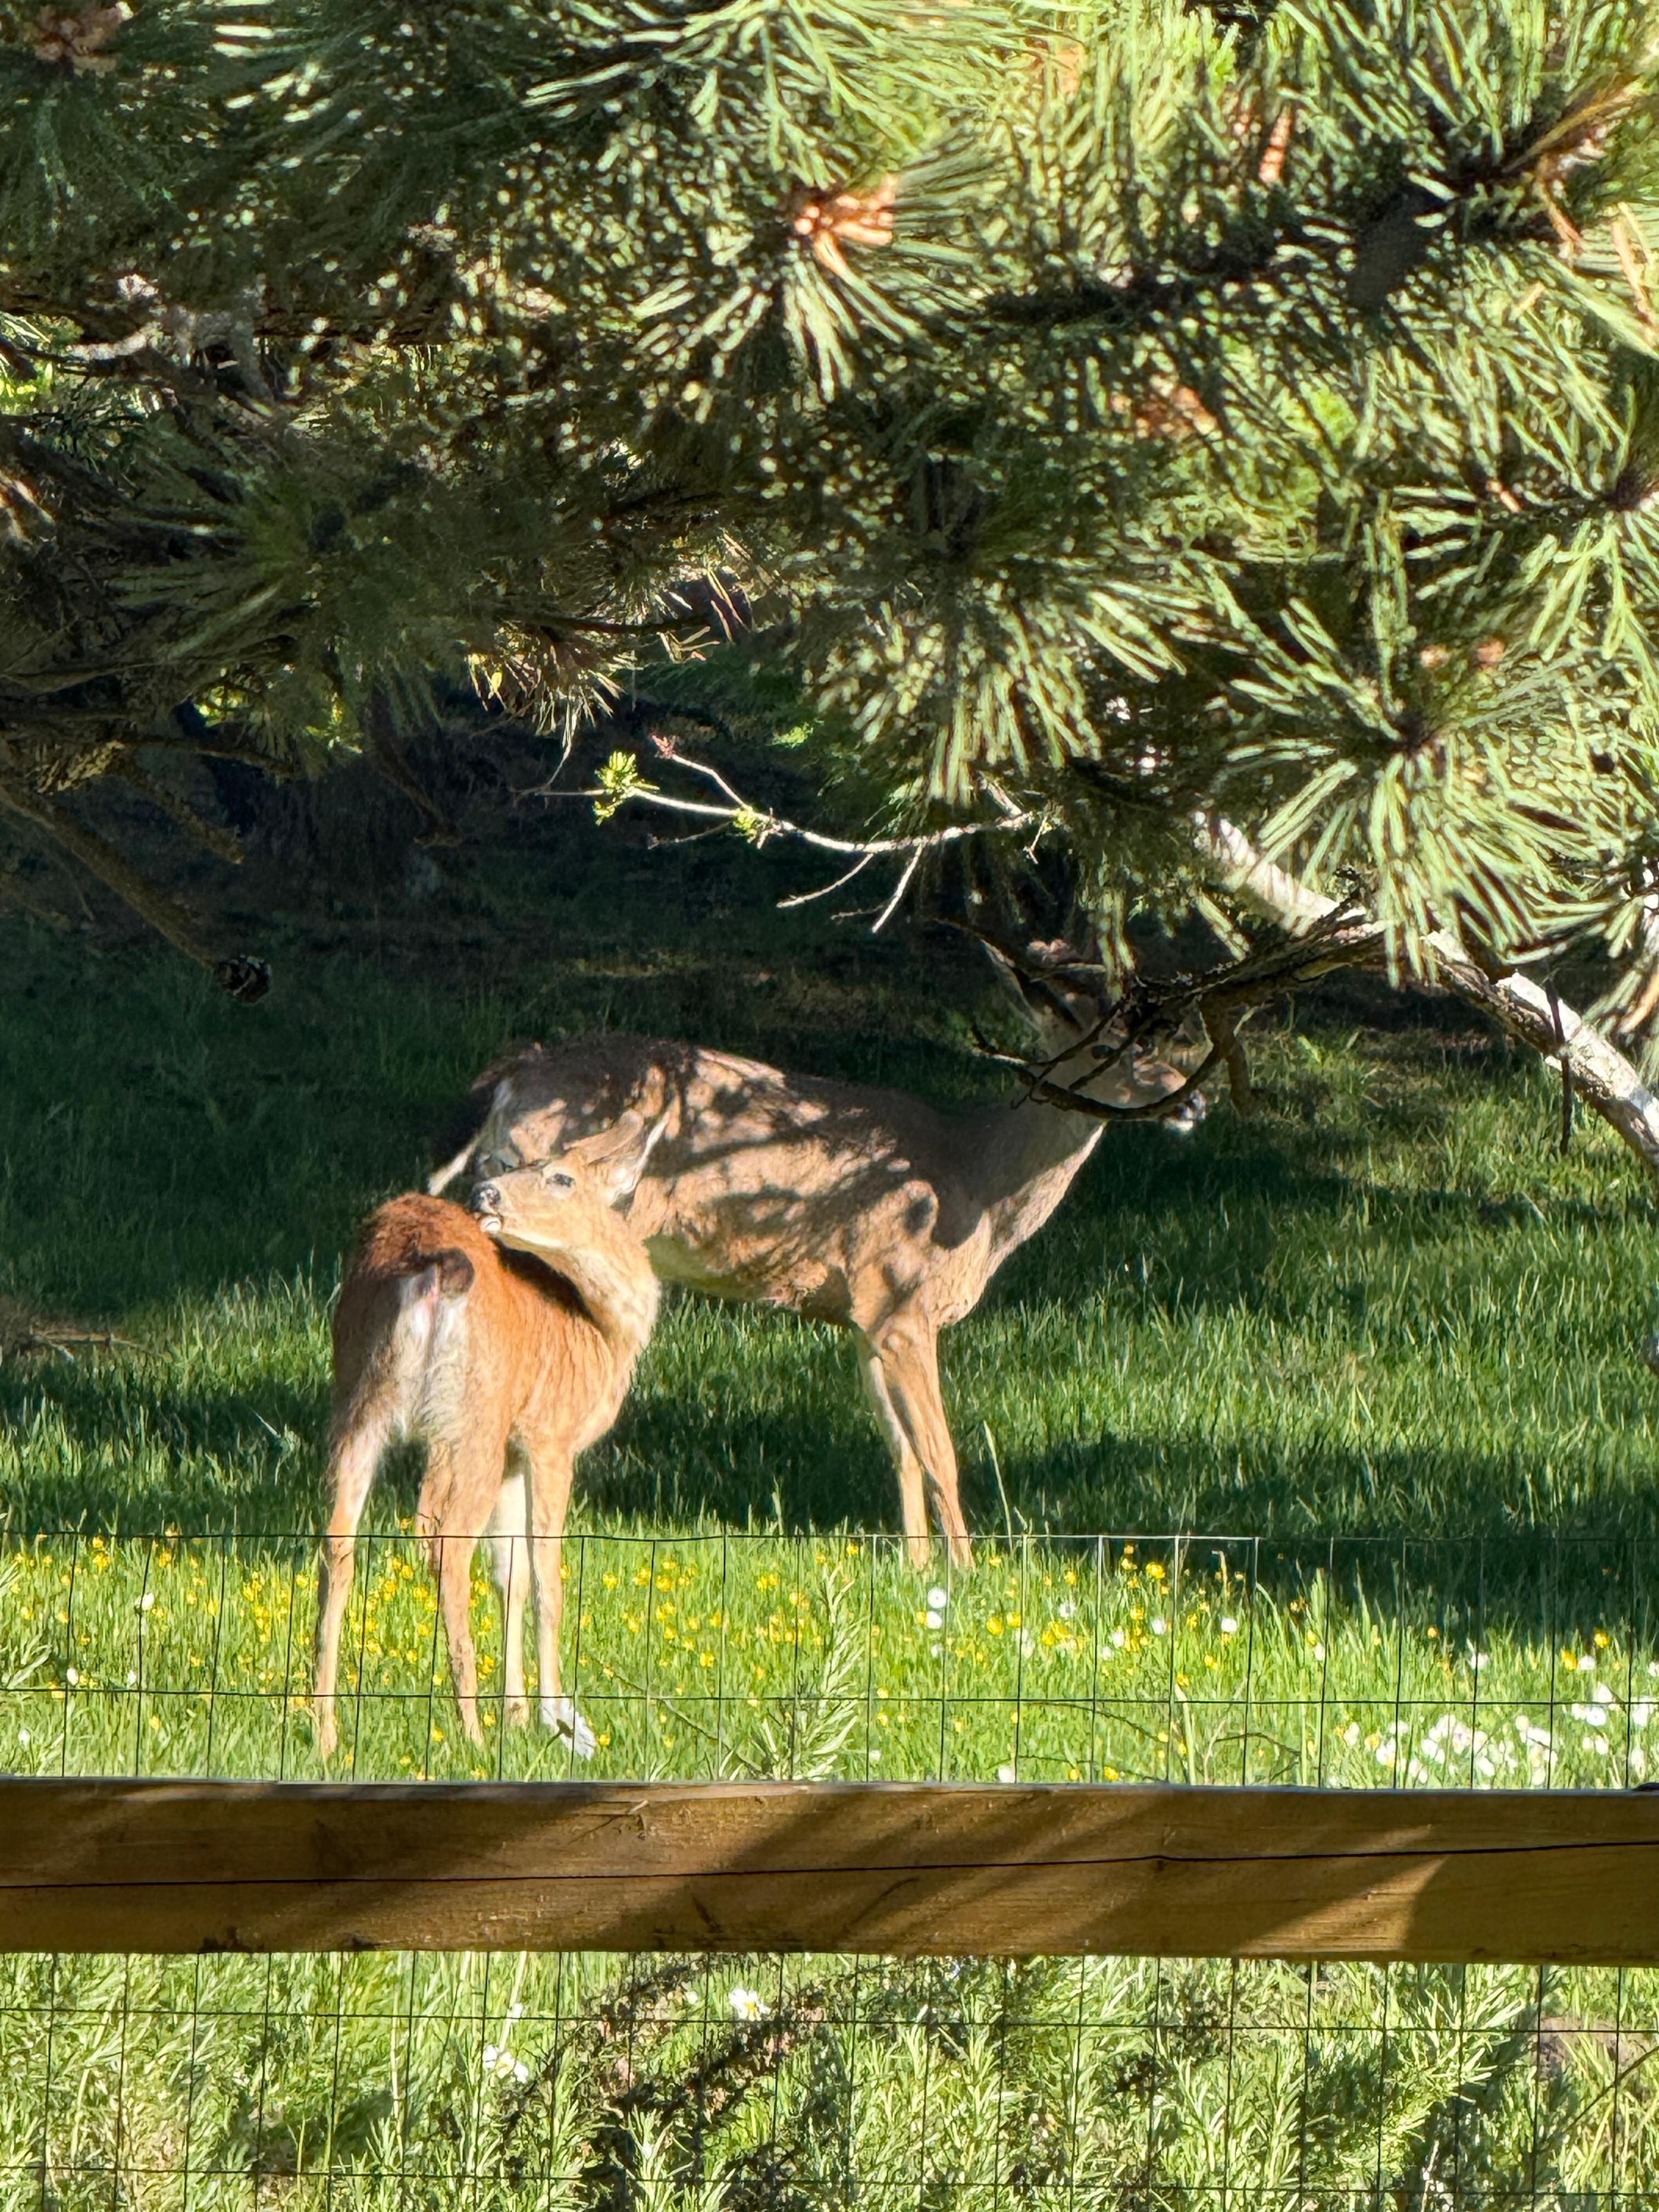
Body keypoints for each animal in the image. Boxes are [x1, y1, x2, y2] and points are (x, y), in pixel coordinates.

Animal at [315, 1118, 665, 1761]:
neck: (601, 1332)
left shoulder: (513, 1454)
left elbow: (512, 1576)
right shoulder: (550, 1437)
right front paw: (555, 1719)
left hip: (359, 1401)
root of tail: (431, 1267)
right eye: (517, 1165)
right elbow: (548, 1579)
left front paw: (519, 1713)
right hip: (469, 1417)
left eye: (559, 1176)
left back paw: (323, 1730)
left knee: (339, 1542)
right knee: (442, 1541)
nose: (485, 1194)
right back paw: (469, 1731)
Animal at [428, 936, 1204, 1574]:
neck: (975, 1187)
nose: (1191, 1104)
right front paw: (969, 1573)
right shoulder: (900, 1296)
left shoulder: (865, 1316)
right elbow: (941, 1451)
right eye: (1107, 1047)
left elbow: (901, 1450)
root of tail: (510, 1078)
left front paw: (917, 1569)